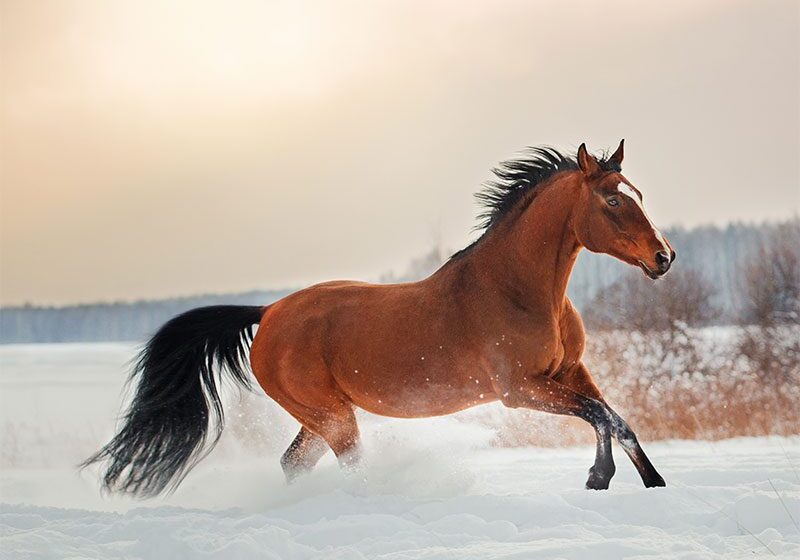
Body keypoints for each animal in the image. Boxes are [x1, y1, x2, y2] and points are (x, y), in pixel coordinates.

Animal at [84, 140, 675, 497]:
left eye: (638, 194)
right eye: (612, 201)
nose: (664, 257)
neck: (518, 291)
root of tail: (269, 312)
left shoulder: (570, 372)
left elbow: (616, 418)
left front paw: (650, 484)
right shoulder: (520, 389)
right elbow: (601, 416)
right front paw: (600, 477)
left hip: (320, 416)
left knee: (293, 464)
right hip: (333, 416)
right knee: (347, 464)